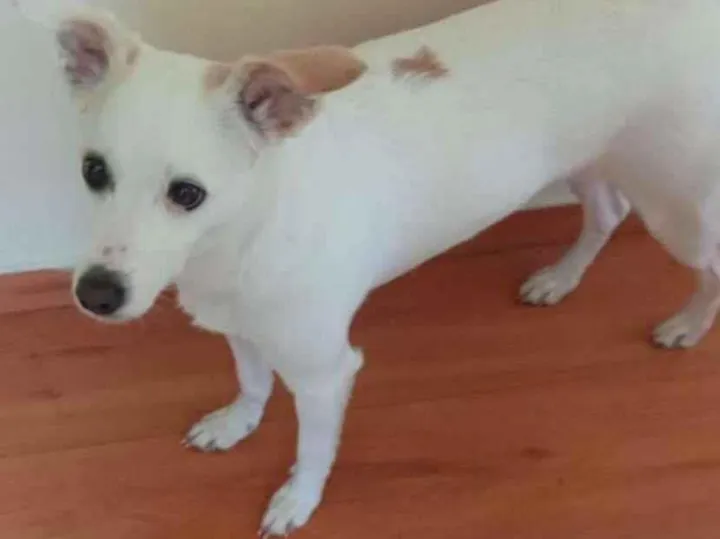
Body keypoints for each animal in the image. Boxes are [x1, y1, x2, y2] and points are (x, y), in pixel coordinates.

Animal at [45, 0, 720, 535]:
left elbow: (313, 449)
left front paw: (297, 501)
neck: (236, 238)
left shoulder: (325, 374)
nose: (96, 295)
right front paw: (236, 424)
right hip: (583, 158)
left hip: (678, 204)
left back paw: (685, 326)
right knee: (608, 210)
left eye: (188, 194)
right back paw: (559, 279)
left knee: (705, 267)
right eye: (93, 171)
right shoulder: (240, 327)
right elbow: (252, 381)